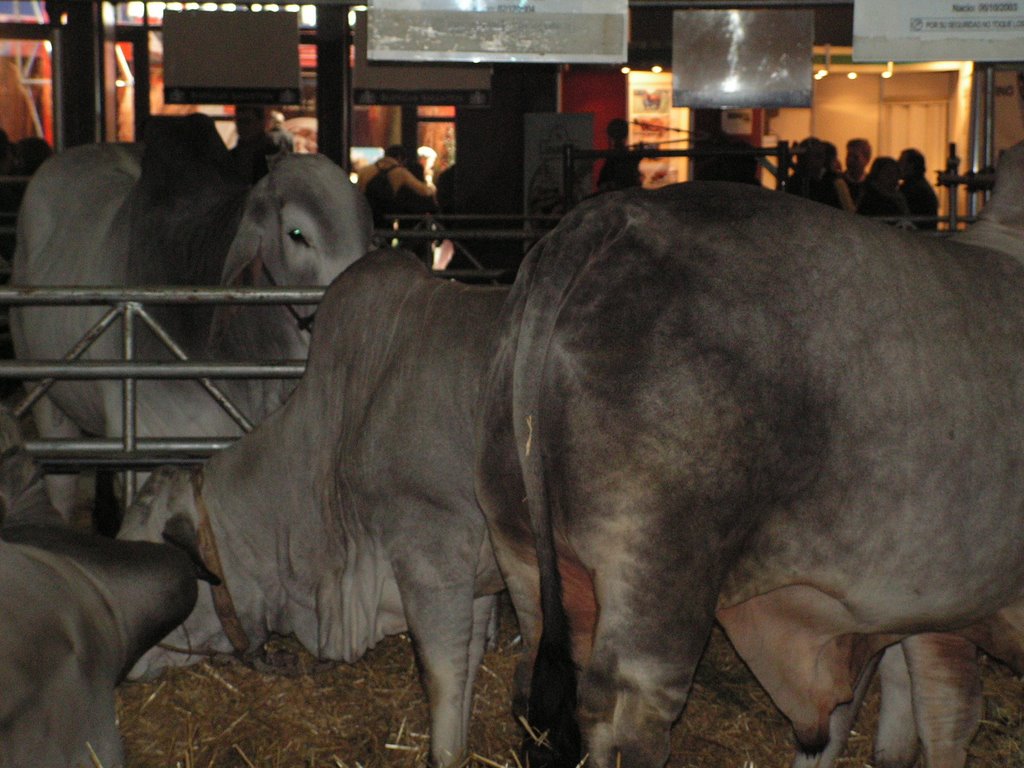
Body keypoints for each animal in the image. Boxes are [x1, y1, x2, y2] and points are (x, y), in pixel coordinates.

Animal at [475, 140, 1024, 768]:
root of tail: (606, 219)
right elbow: (946, 709)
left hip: (519, 539)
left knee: (538, 679)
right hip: (657, 564)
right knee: (627, 711)